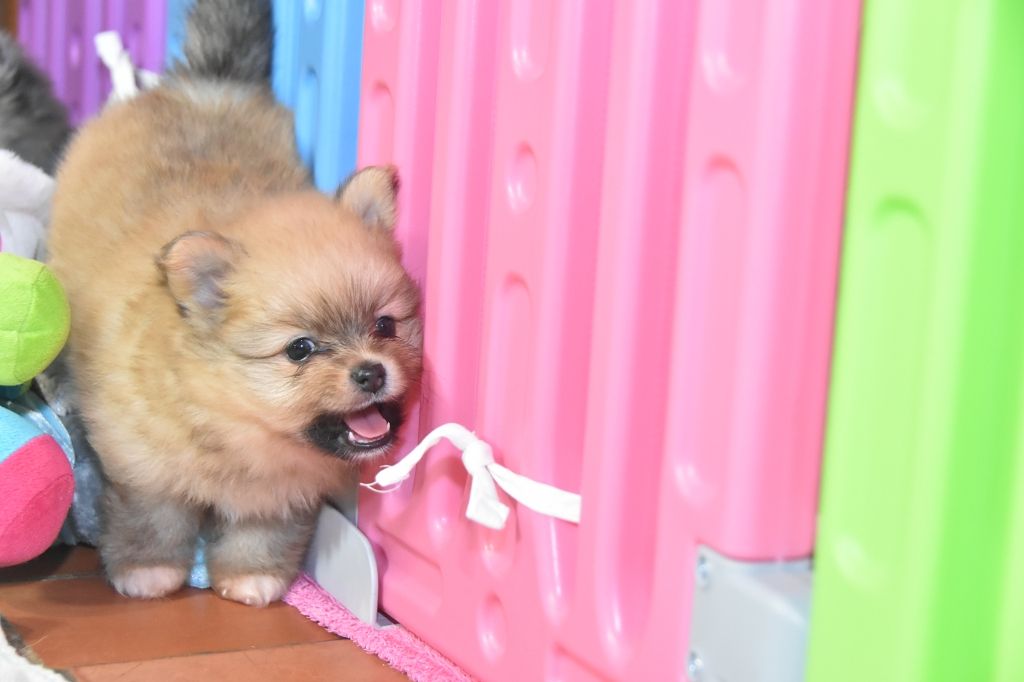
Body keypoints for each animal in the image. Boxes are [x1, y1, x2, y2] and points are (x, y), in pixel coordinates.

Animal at [46, 0, 423, 607]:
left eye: (385, 326)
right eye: (300, 349)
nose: (370, 372)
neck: (231, 422)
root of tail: (209, 83)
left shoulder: (281, 491)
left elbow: (263, 530)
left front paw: (252, 577)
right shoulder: (141, 465)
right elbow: (153, 518)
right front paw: (148, 571)